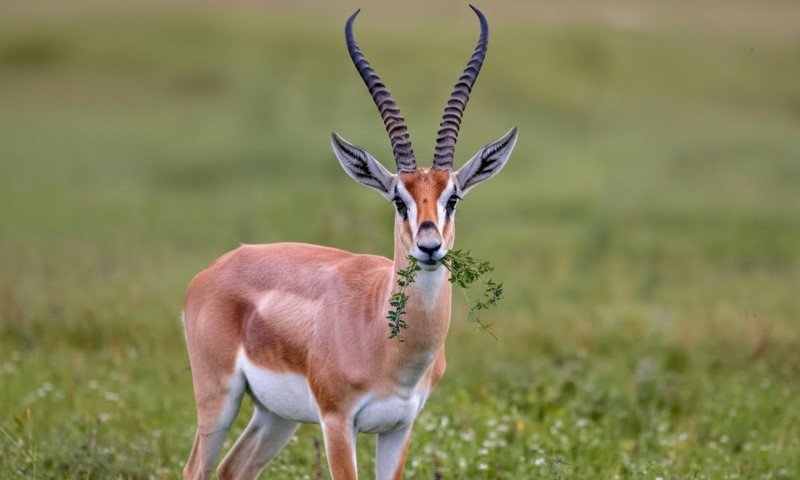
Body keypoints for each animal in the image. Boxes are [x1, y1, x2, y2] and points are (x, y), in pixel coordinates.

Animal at [182, 5, 518, 480]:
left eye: (452, 198)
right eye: (398, 199)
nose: (429, 246)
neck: (384, 341)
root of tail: (215, 269)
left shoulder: (399, 426)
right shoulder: (337, 421)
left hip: (276, 415)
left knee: (234, 468)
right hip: (218, 400)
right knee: (197, 468)